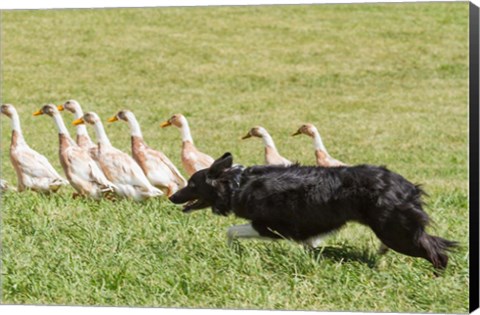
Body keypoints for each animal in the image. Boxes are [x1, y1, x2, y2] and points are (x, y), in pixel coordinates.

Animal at [170, 154, 458, 272]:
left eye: (191, 184)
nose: (172, 197)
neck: (238, 184)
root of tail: (408, 186)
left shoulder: (272, 227)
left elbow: (231, 231)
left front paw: (232, 251)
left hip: (396, 233)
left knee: (437, 252)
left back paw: (436, 277)